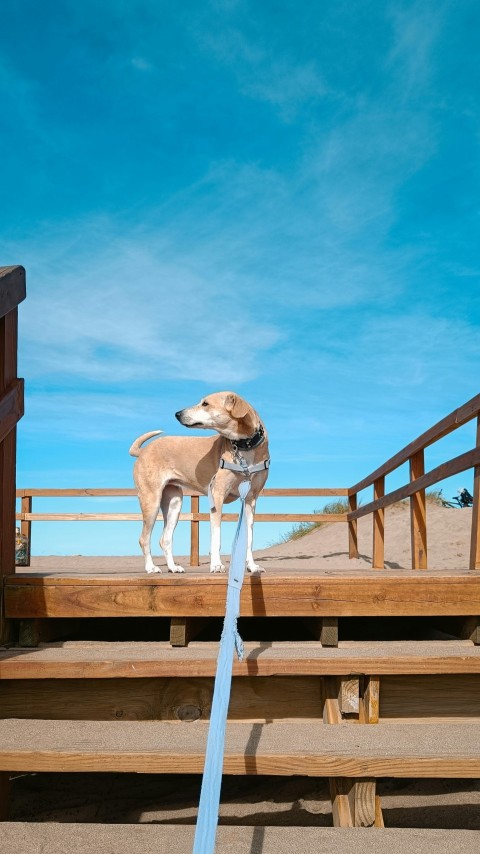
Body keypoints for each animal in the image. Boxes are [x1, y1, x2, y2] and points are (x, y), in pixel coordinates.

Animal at [128, 394, 270, 576]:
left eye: (205, 404)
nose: (177, 414)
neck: (244, 447)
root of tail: (143, 450)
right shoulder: (217, 496)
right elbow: (216, 538)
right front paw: (216, 565)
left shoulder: (250, 500)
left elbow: (249, 538)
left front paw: (252, 566)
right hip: (151, 500)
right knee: (144, 538)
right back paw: (151, 567)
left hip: (174, 502)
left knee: (165, 539)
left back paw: (173, 567)